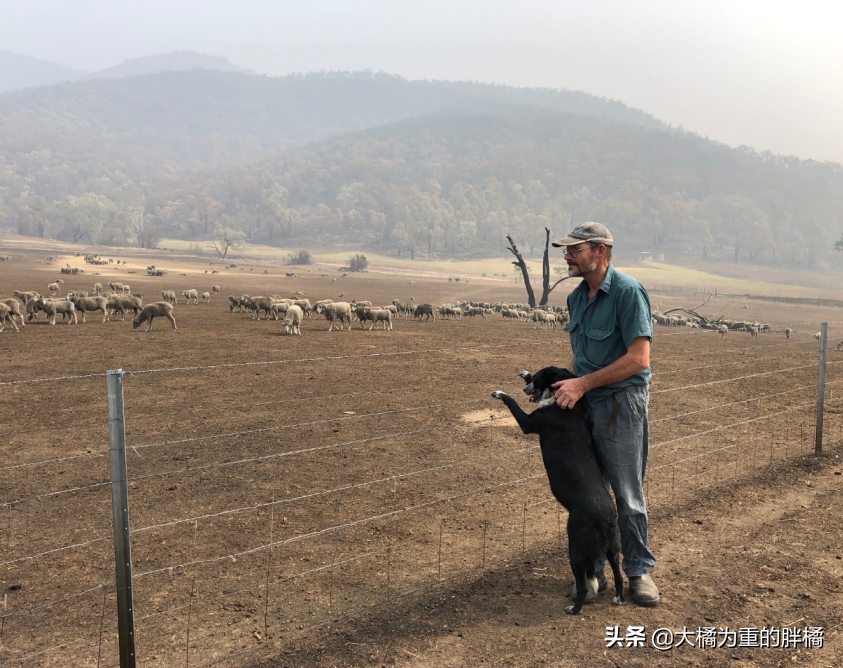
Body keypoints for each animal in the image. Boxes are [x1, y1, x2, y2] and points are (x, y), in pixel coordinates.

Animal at [492, 368, 624, 612]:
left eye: (538, 379)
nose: (526, 388)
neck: (571, 406)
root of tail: (607, 518)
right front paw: (523, 372)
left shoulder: (529, 422)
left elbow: (512, 403)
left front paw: (500, 393)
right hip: (612, 548)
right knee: (619, 575)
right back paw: (619, 598)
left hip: (576, 549)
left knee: (582, 586)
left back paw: (574, 609)